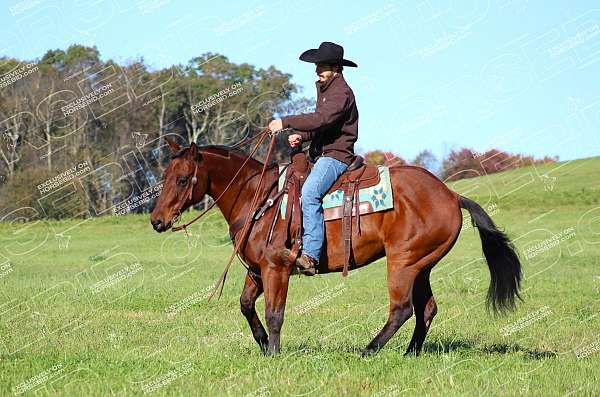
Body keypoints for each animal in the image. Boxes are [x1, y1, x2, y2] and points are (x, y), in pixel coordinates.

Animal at [150, 137, 520, 356]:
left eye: (182, 179)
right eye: (165, 176)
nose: (157, 221)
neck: (260, 198)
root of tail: (451, 194)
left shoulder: (276, 268)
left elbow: (274, 313)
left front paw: (274, 353)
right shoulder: (257, 270)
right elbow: (245, 305)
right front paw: (263, 344)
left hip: (403, 262)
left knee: (402, 309)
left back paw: (369, 350)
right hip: (422, 265)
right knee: (426, 309)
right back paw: (409, 353)